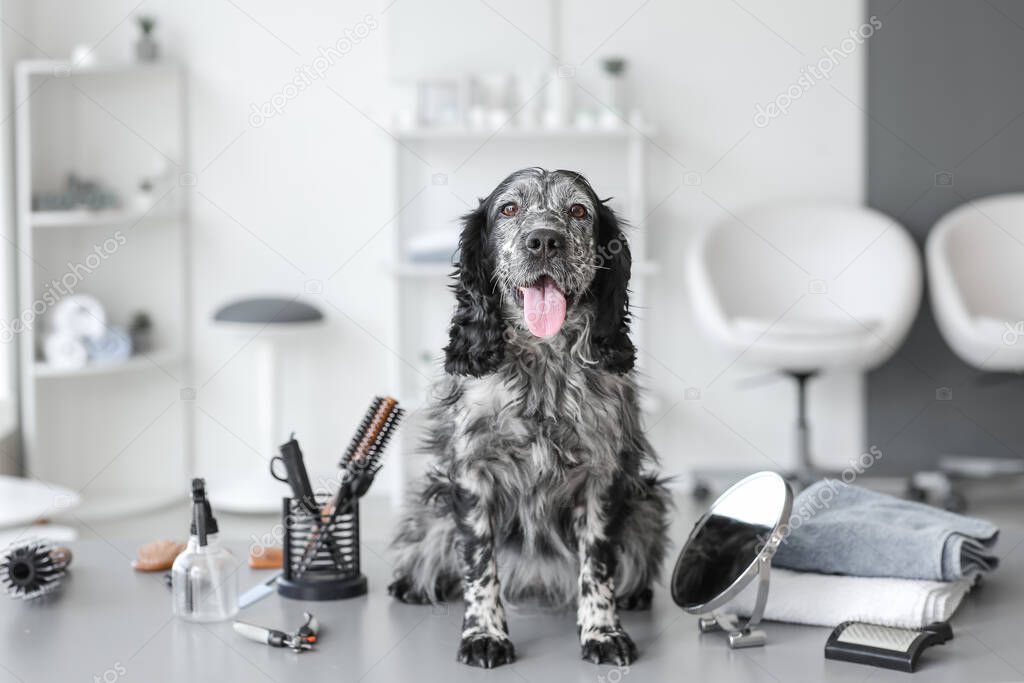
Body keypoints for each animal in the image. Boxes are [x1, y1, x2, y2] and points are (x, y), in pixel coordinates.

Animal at [387, 167, 667, 671]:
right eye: (509, 209)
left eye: (578, 211)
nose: (543, 240)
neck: (543, 363)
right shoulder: (471, 475)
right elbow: (480, 564)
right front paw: (485, 633)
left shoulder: (603, 478)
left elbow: (597, 565)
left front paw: (602, 631)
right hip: (434, 504)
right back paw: (414, 584)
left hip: (648, 502)